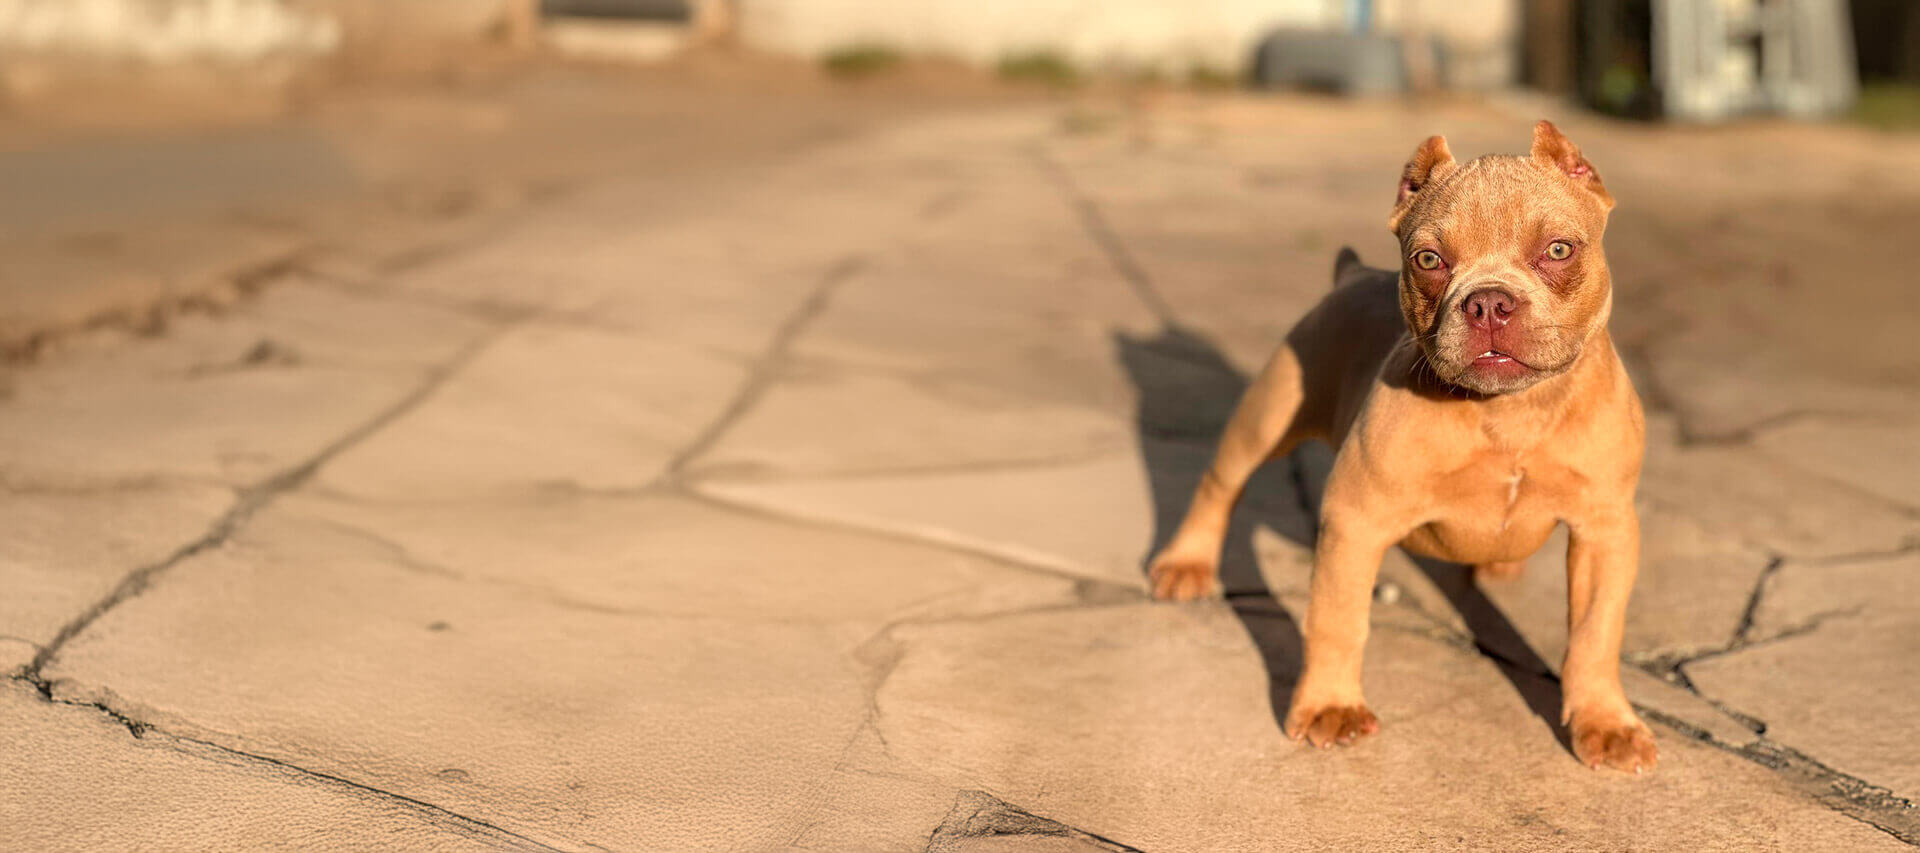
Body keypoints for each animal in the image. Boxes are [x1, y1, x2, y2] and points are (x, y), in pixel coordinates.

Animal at [1144, 121, 1658, 772]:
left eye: (1559, 251)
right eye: (1429, 260)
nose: (1489, 302)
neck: (1508, 412)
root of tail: (1351, 275)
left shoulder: (1604, 528)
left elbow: (1595, 632)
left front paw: (1606, 723)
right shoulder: (1356, 518)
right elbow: (1338, 619)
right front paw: (1330, 706)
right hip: (1266, 416)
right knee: (1221, 483)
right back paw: (1186, 563)